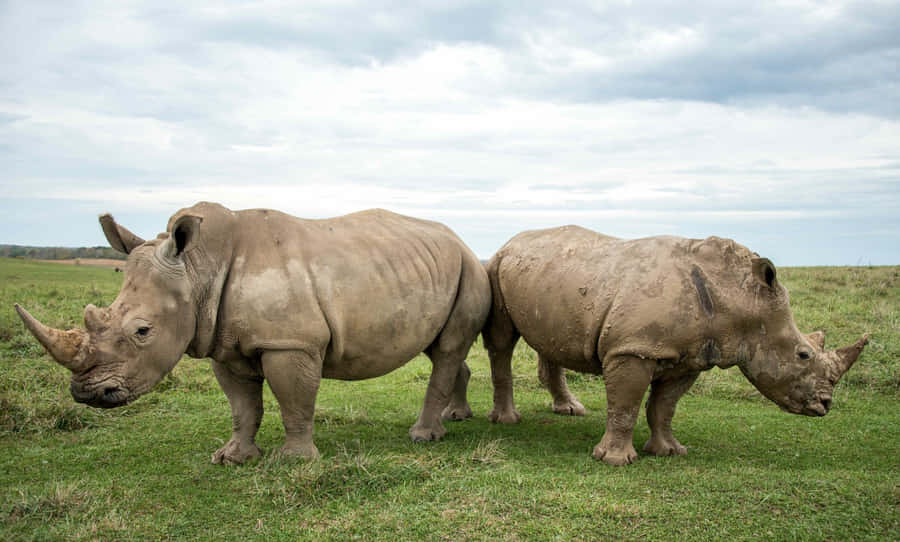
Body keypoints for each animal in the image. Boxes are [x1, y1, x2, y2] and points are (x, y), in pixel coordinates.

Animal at [15, 202, 490, 464]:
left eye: (143, 331)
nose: (87, 394)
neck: (197, 268)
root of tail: (463, 241)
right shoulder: (222, 344)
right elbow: (243, 406)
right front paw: (232, 459)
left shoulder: (290, 342)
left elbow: (294, 401)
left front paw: (294, 462)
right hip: (439, 269)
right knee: (440, 349)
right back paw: (455, 417)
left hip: (470, 268)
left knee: (447, 350)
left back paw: (423, 437)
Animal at [483, 226, 868, 465]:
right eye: (802, 355)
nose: (825, 405)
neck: (739, 297)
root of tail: (511, 241)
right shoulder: (633, 347)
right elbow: (625, 404)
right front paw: (615, 461)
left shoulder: (692, 357)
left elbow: (664, 406)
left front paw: (669, 451)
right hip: (497, 267)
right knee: (502, 342)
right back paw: (508, 421)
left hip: (547, 276)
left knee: (549, 342)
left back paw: (570, 410)